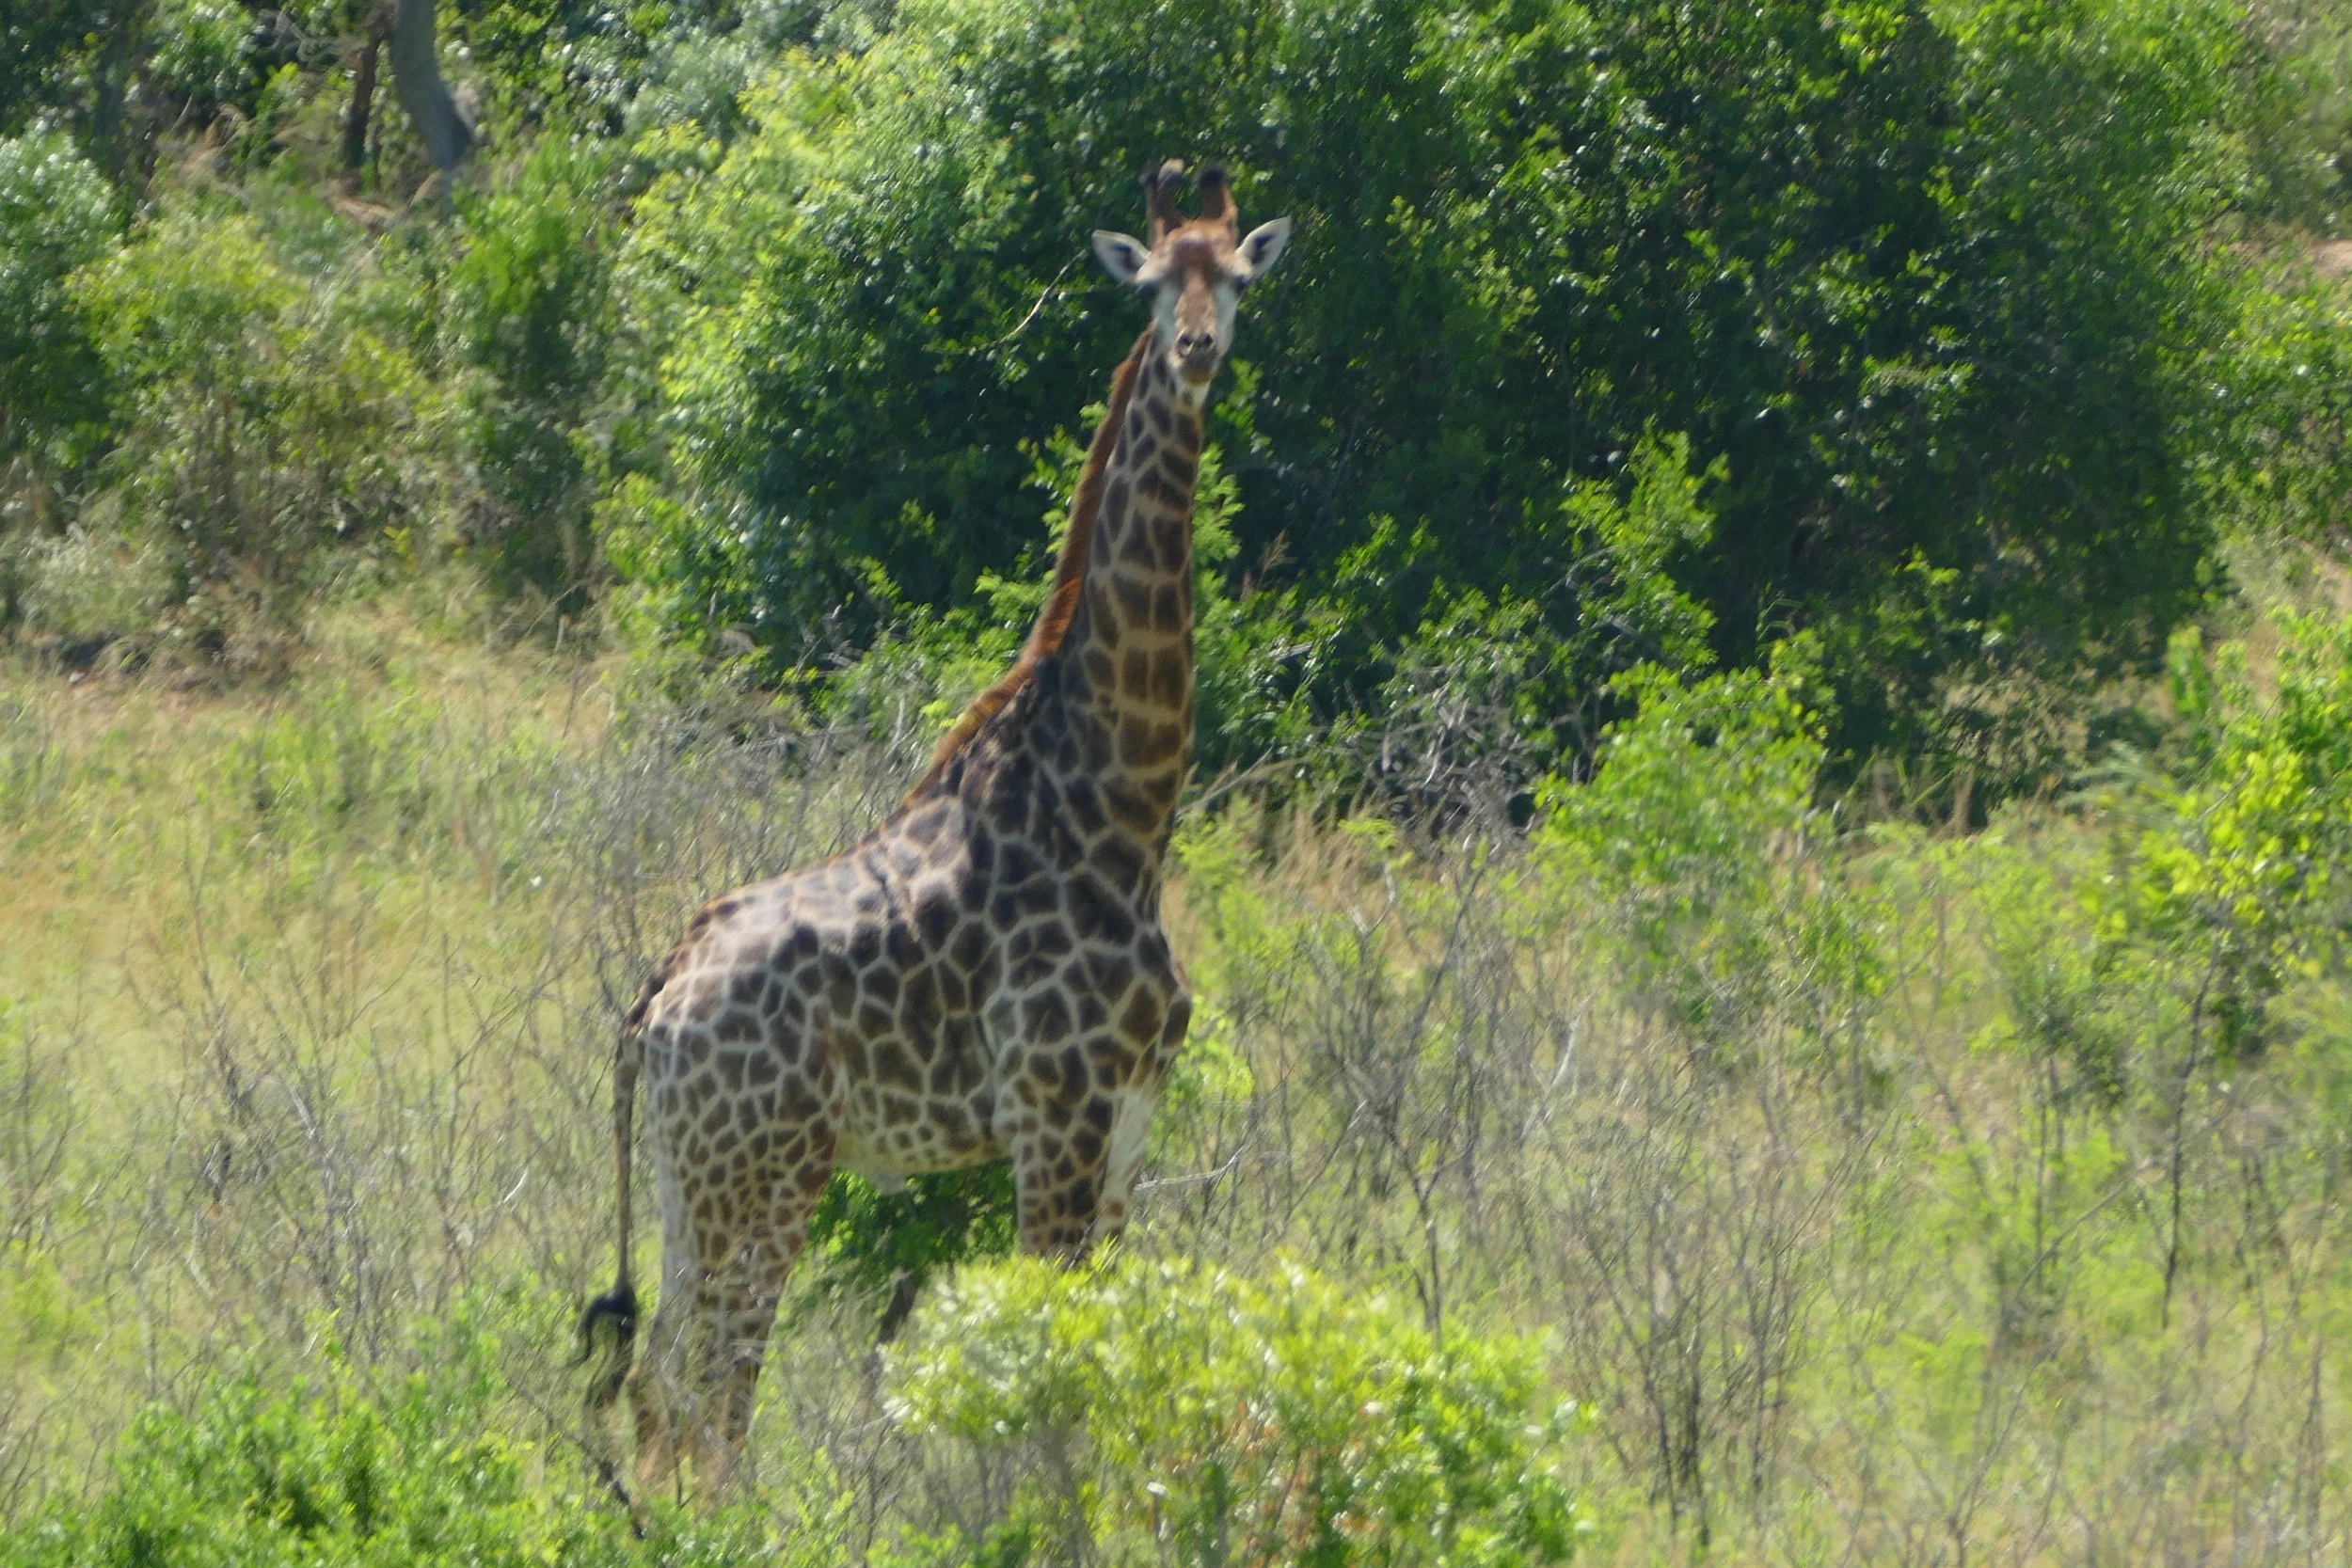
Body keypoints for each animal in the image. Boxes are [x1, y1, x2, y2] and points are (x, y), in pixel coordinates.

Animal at [578, 159, 1292, 1494]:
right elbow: (1047, 1385)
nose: (1194, 349)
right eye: (1152, 281)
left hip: (688, 1179)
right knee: (714, 1389)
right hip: (770, 1175)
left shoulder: (1126, 1129)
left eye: (1234, 276)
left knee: (660, 1382)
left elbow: (1099, 1369)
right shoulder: (1054, 1123)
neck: (1122, 805)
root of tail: (652, 1006)